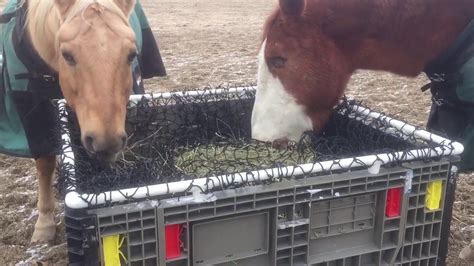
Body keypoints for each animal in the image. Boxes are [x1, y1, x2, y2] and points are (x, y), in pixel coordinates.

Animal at [0, 0, 164, 244]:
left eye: (131, 54)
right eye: (67, 55)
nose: (106, 142)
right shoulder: (33, 114)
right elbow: (45, 165)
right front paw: (44, 224)